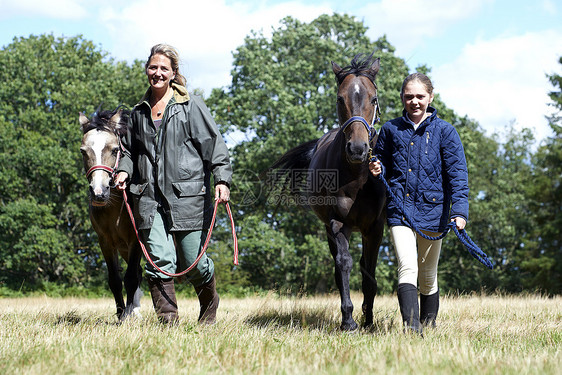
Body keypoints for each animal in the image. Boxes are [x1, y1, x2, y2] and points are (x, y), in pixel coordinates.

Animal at [80, 107, 143, 322]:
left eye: (115, 150)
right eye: (83, 151)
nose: (99, 192)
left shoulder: (136, 241)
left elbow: (130, 277)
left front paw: (128, 316)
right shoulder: (106, 242)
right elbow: (115, 279)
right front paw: (122, 313)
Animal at [268, 53, 384, 332]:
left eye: (373, 99)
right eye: (340, 99)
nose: (357, 148)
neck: (358, 176)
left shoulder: (375, 227)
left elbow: (369, 272)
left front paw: (368, 321)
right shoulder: (337, 223)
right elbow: (344, 264)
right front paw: (349, 320)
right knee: (338, 266)